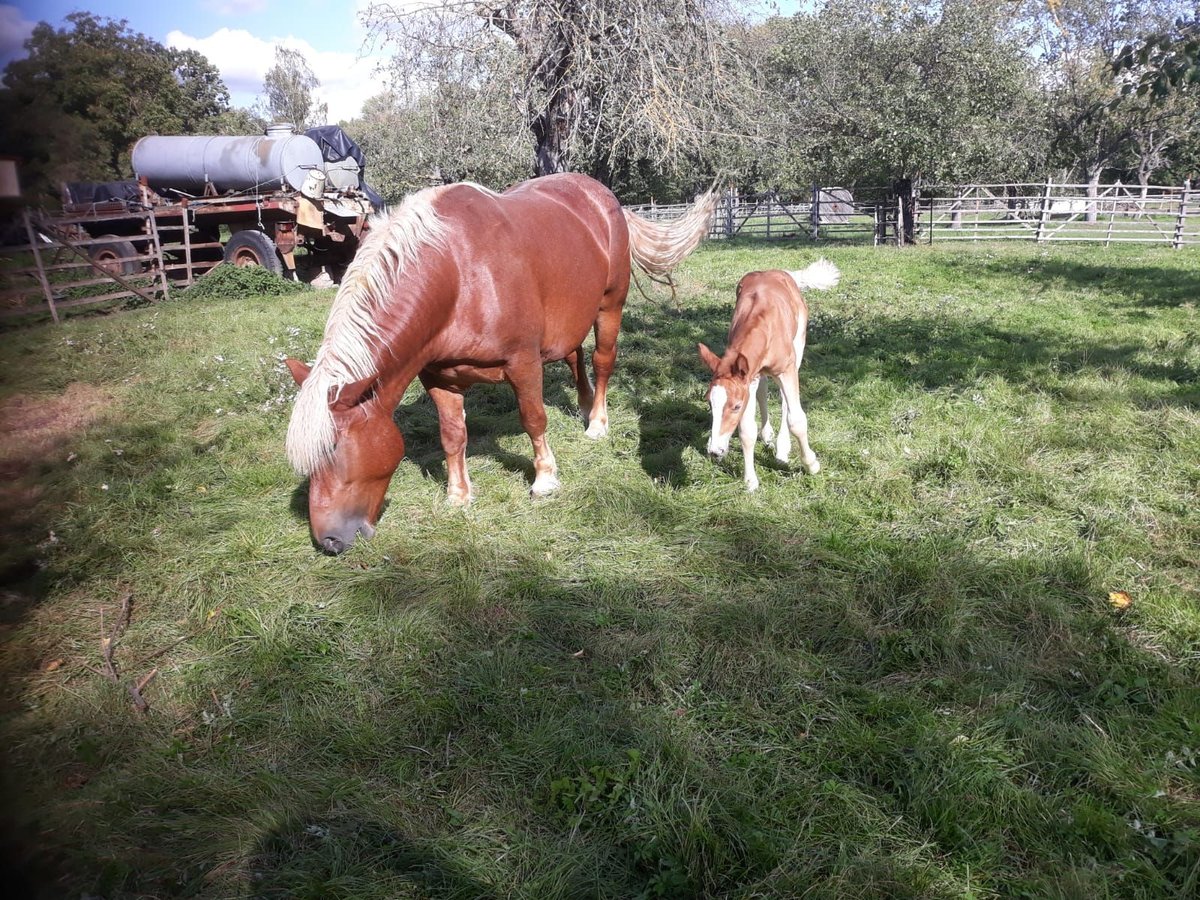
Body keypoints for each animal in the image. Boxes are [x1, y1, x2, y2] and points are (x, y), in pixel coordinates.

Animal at [700, 256, 840, 489]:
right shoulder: (749, 376)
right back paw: (767, 435)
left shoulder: (786, 369)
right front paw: (750, 480)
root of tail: (782, 272)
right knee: (763, 391)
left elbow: (797, 420)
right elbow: (747, 430)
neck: (763, 323)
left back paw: (782, 448)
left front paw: (811, 464)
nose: (714, 451)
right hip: (760, 373)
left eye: (735, 406)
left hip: (797, 349)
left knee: (785, 400)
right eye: (709, 404)